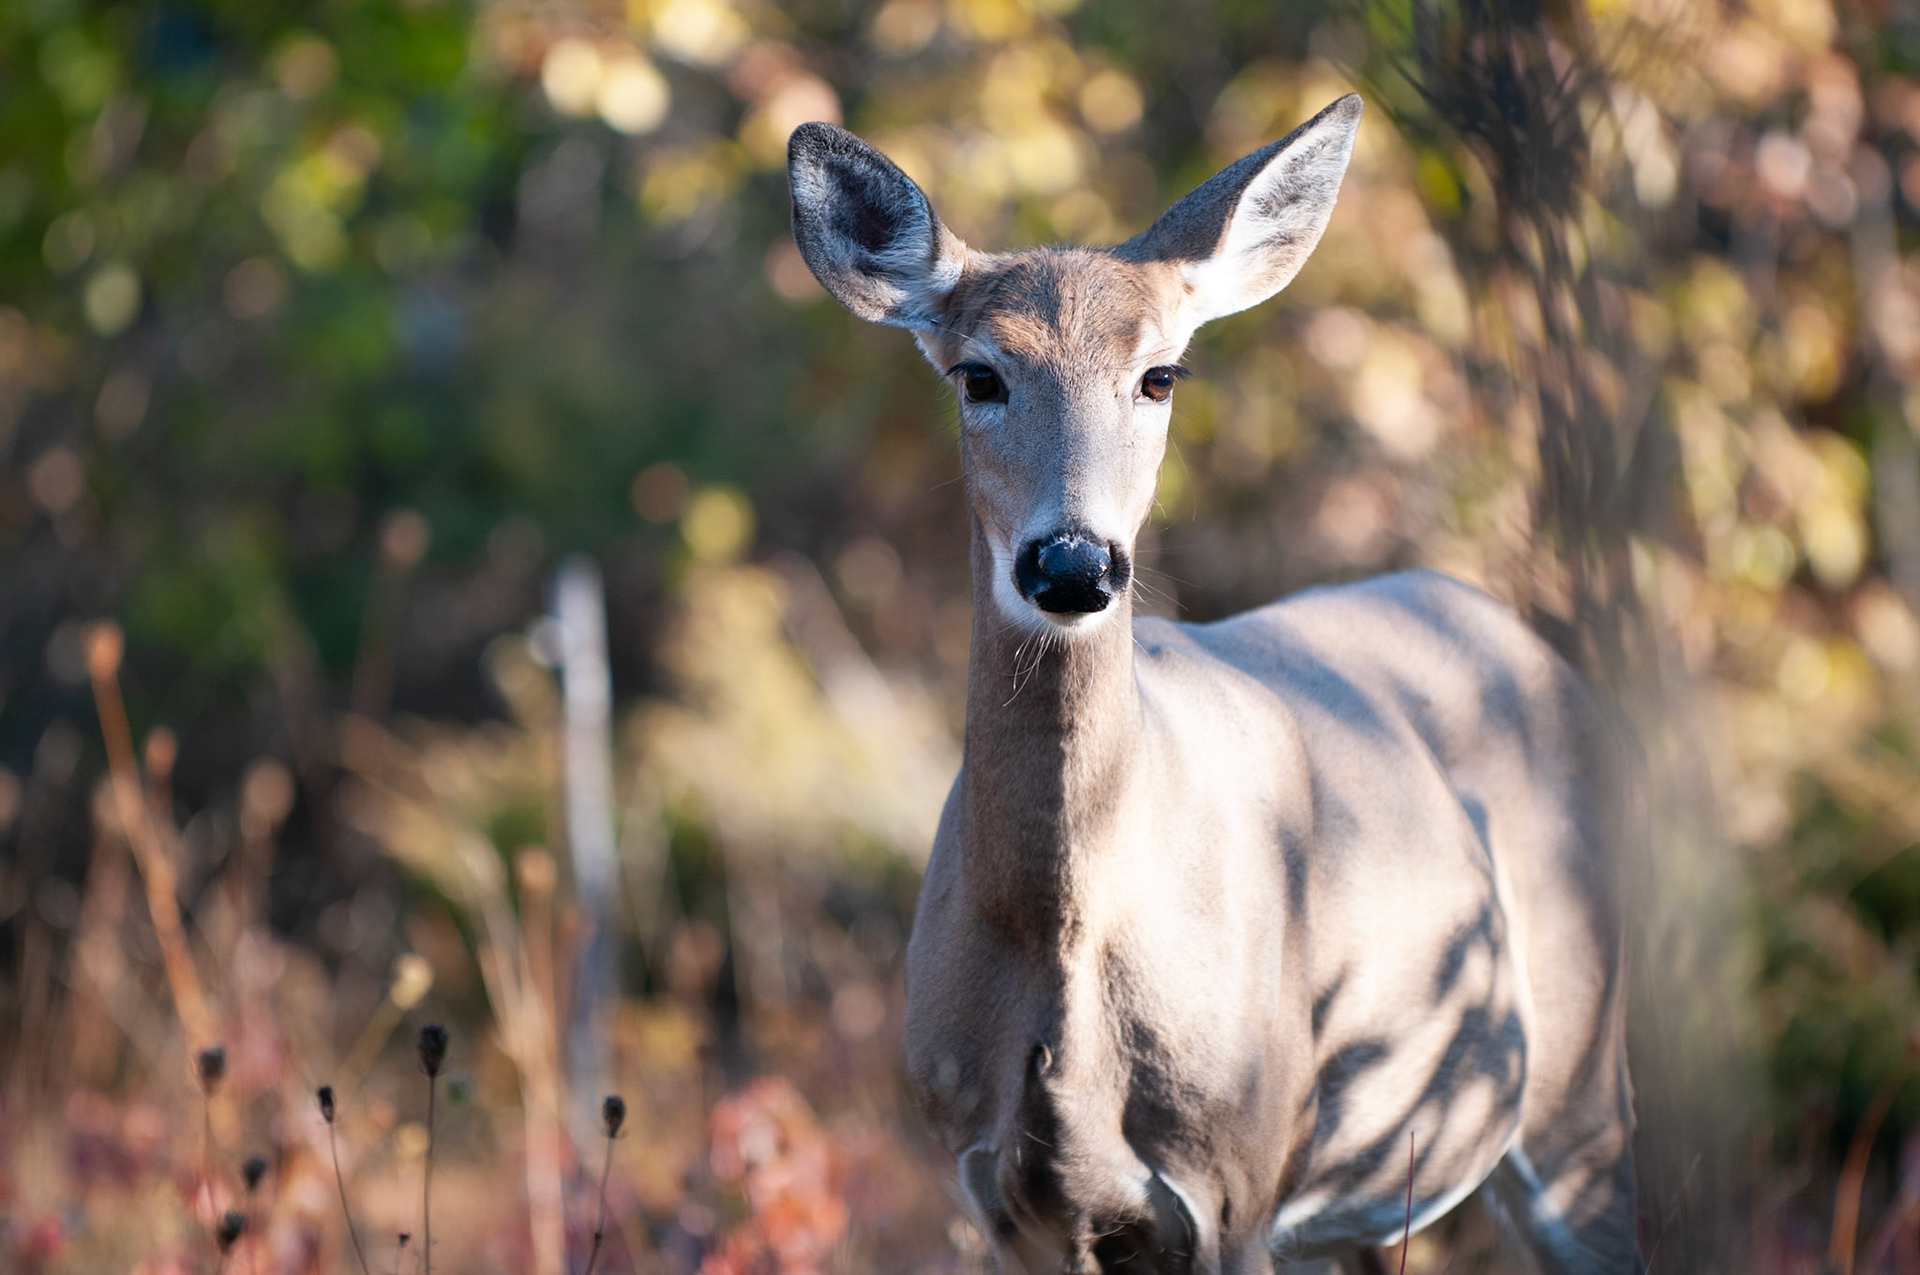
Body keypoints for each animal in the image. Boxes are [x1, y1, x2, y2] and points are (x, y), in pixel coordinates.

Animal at [787, 94, 1644, 1275]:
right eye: (979, 375)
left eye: (1159, 375)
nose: (1072, 563)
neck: (1065, 952)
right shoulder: (1001, 1197)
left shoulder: (1237, 1179)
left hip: (1578, 1080)